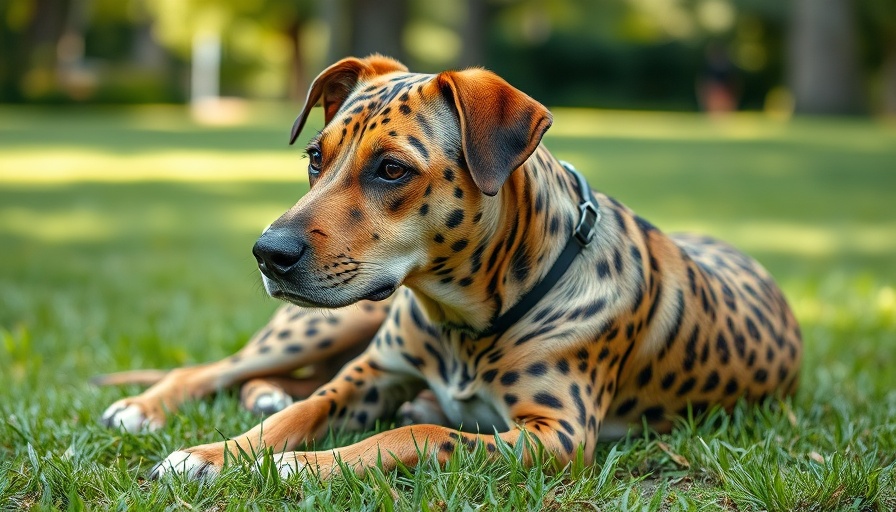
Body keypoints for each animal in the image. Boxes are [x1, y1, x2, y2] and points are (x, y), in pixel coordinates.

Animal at [100, 57, 804, 480]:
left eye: (391, 169)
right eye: (314, 157)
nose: (267, 253)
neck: (464, 316)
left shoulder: (558, 434)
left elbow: (415, 432)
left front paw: (301, 466)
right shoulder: (371, 373)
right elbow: (299, 414)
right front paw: (214, 453)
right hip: (330, 324)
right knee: (219, 368)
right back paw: (149, 406)